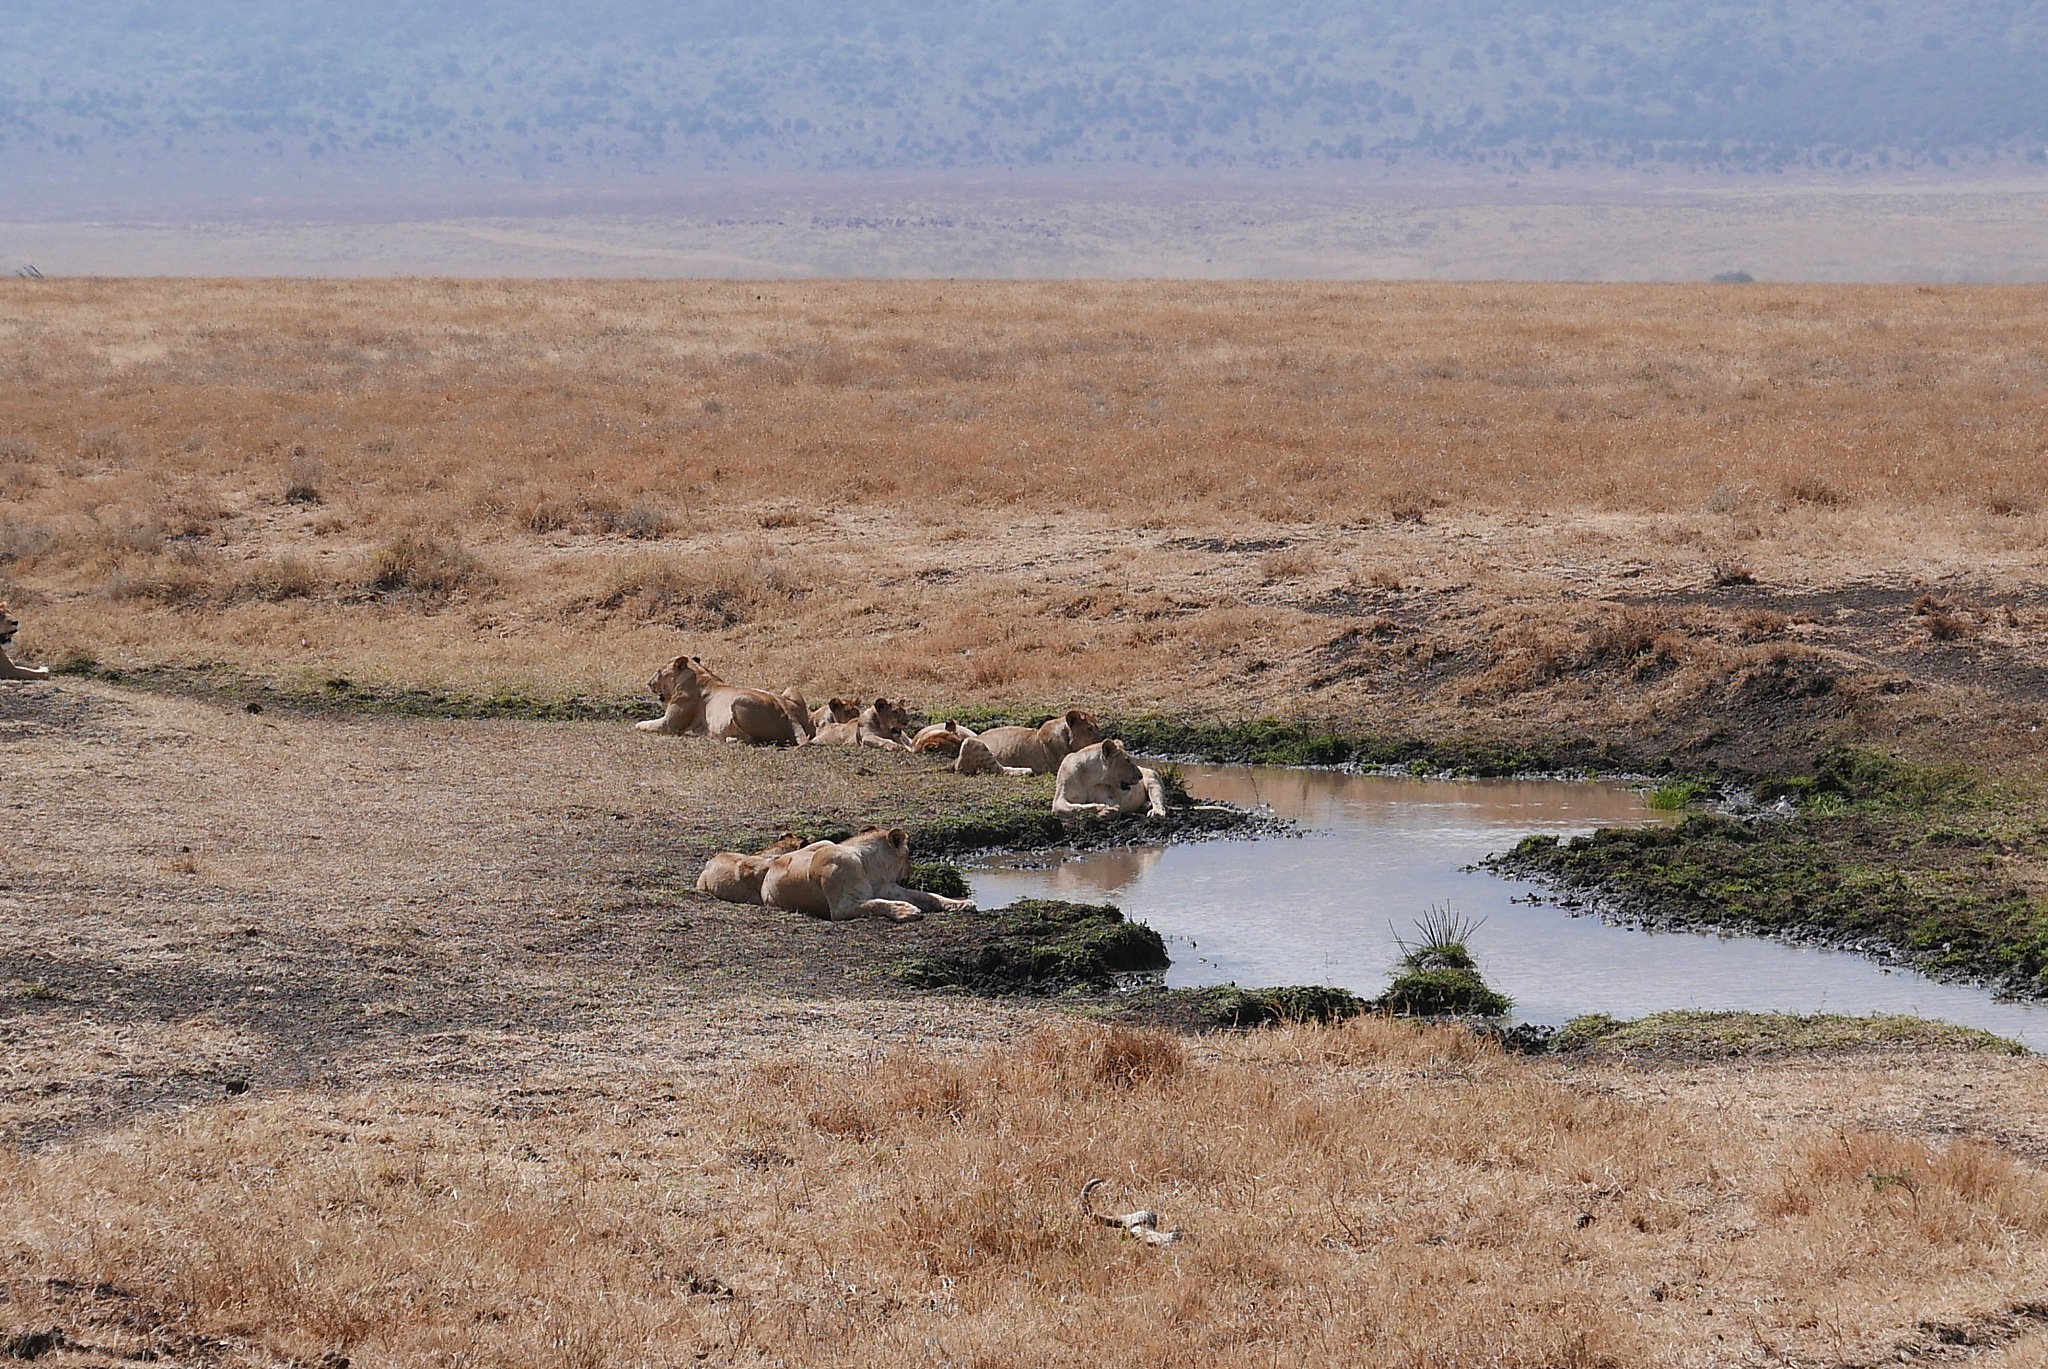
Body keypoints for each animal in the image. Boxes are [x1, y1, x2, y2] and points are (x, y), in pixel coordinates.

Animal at [636, 655, 812, 745]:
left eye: (658, 672)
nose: (648, 683)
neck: (698, 675)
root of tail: (790, 715)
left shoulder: (669, 724)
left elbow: (647, 724)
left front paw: (638, 724)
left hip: (738, 700)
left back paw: (728, 738)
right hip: (790, 690)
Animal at [756, 826, 975, 922]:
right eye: (909, 856)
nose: (911, 871)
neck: (872, 870)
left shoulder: (893, 889)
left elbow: (930, 896)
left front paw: (962, 903)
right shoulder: (842, 907)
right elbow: (875, 904)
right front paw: (906, 910)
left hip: (825, 841)